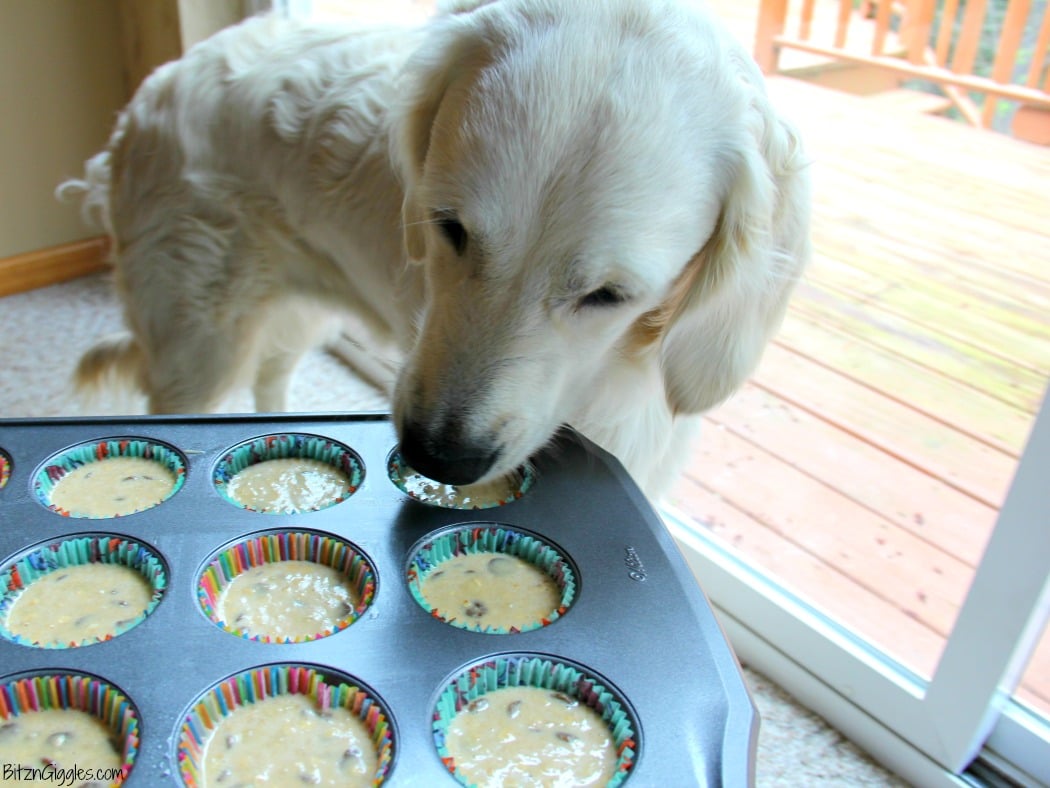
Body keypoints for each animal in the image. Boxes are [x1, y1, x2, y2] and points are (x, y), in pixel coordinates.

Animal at [61, 1, 806, 500]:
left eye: (609, 296)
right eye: (449, 227)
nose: (438, 457)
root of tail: (147, 98)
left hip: (292, 315)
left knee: (272, 378)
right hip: (199, 345)